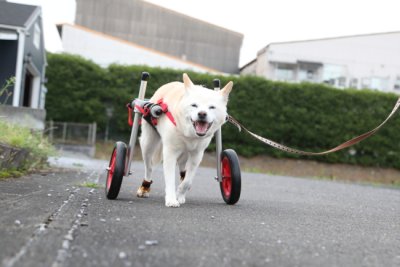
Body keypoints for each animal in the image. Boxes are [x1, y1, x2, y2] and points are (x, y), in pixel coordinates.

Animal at [138, 74, 233, 208]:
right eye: (194, 105)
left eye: (212, 107)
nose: (202, 114)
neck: (189, 134)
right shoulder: (170, 153)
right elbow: (170, 179)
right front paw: (172, 199)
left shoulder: (197, 155)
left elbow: (188, 181)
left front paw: (180, 193)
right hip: (148, 144)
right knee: (149, 167)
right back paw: (144, 187)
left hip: (185, 153)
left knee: (183, 170)